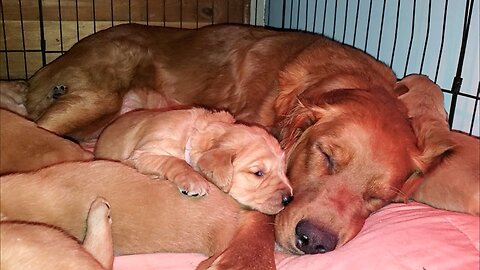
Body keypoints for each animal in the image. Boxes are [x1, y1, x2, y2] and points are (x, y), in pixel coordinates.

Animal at [94, 107, 292, 215]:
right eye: (258, 173)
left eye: (283, 171)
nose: (289, 199)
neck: (193, 135)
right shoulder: (144, 152)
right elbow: (175, 161)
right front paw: (194, 180)